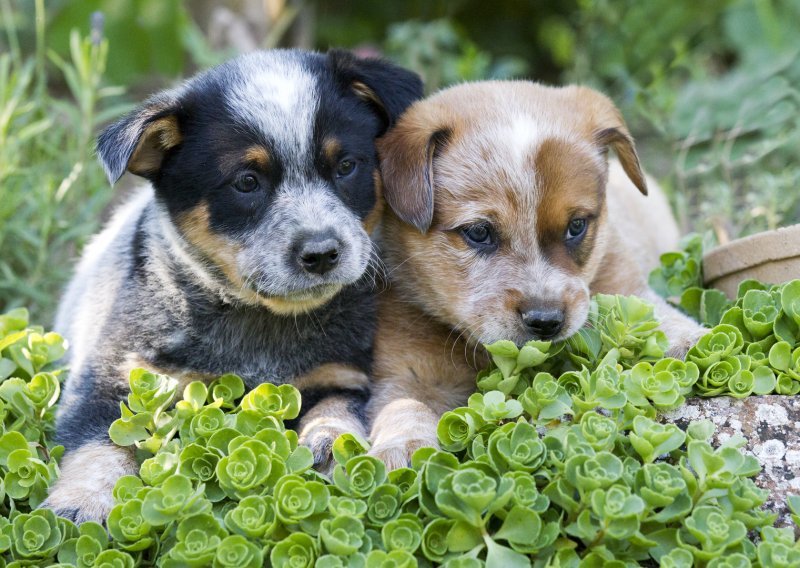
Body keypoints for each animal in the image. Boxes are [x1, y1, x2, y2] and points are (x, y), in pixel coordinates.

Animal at [43, 48, 422, 524]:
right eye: (247, 182)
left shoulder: (342, 373)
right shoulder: (114, 377)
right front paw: (80, 502)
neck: (259, 327)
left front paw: (329, 440)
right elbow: (97, 444)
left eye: (346, 166)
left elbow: (337, 408)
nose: (321, 253)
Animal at [366, 81, 704, 470]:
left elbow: (653, 313)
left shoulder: (623, 280)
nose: (546, 321)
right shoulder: (406, 369)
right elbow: (403, 402)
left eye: (576, 226)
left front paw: (691, 340)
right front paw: (403, 445)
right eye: (479, 232)